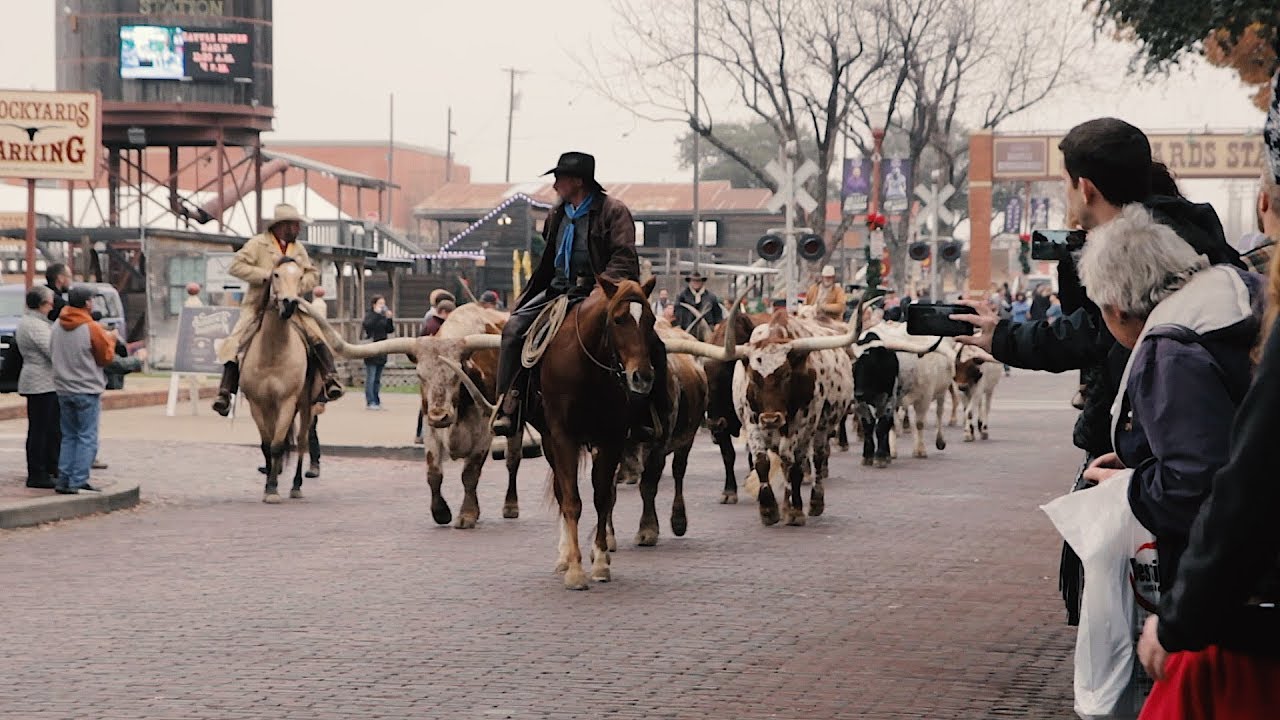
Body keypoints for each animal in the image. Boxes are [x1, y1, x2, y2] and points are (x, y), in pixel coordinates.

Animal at [240, 254, 318, 502]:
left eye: (301, 276)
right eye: (275, 274)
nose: (289, 303)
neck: (273, 352)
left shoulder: (287, 402)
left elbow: (277, 445)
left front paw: (273, 488)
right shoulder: (257, 403)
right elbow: (267, 445)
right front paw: (268, 485)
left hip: (305, 405)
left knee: (301, 442)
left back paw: (296, 485)